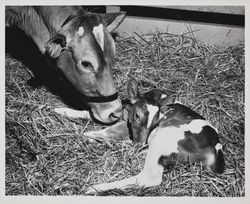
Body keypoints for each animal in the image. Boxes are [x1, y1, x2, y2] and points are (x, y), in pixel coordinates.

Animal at [85, 77, 226, 193]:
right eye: (137, 116)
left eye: (155, 123)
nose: (140, 144)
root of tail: (216, 151)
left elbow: (114, 130)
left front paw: (87, 135)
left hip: (163, 138)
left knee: (150, 177)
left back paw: (95, 188)